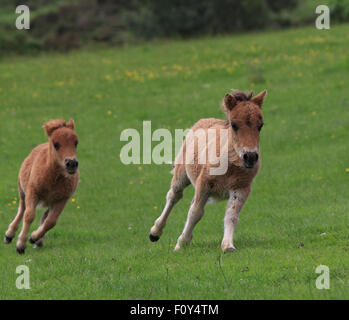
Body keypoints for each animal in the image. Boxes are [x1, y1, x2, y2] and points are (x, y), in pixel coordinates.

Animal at [4, 119, 79, 254]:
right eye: (56, 144)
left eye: (76, 142)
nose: (71, 163)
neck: (53, 179)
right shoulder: (32, 192)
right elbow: (29, 215)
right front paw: (21, 245)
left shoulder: (62, 199)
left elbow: (51, 221)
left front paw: (33, 237)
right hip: (22, 190)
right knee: (22, 209)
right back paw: (9, 235)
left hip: (51, 200)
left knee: (45, 215)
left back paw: (38, 241)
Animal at [149, 89, 266, 252]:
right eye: (234, 125)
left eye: (260, 126)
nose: (250, 157)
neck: (230, 166)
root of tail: (203, 121)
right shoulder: (204, 183)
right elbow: (195, 213)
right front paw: (180, 244)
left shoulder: (241, 188)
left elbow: (232, 215)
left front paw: (228, 245)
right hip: (182, 174)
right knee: (174, 196)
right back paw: (155, 232)